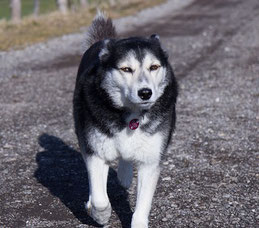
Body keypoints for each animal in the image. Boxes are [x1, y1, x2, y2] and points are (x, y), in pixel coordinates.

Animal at [73, 12, 179, 228]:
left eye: (154, 67)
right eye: (126, 69)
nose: (145, 93)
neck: (132, 115)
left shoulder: (150, 159)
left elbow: (143, 204)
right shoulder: (95, 150)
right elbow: (100, 197)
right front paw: (100, 214)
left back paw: (124, 175)